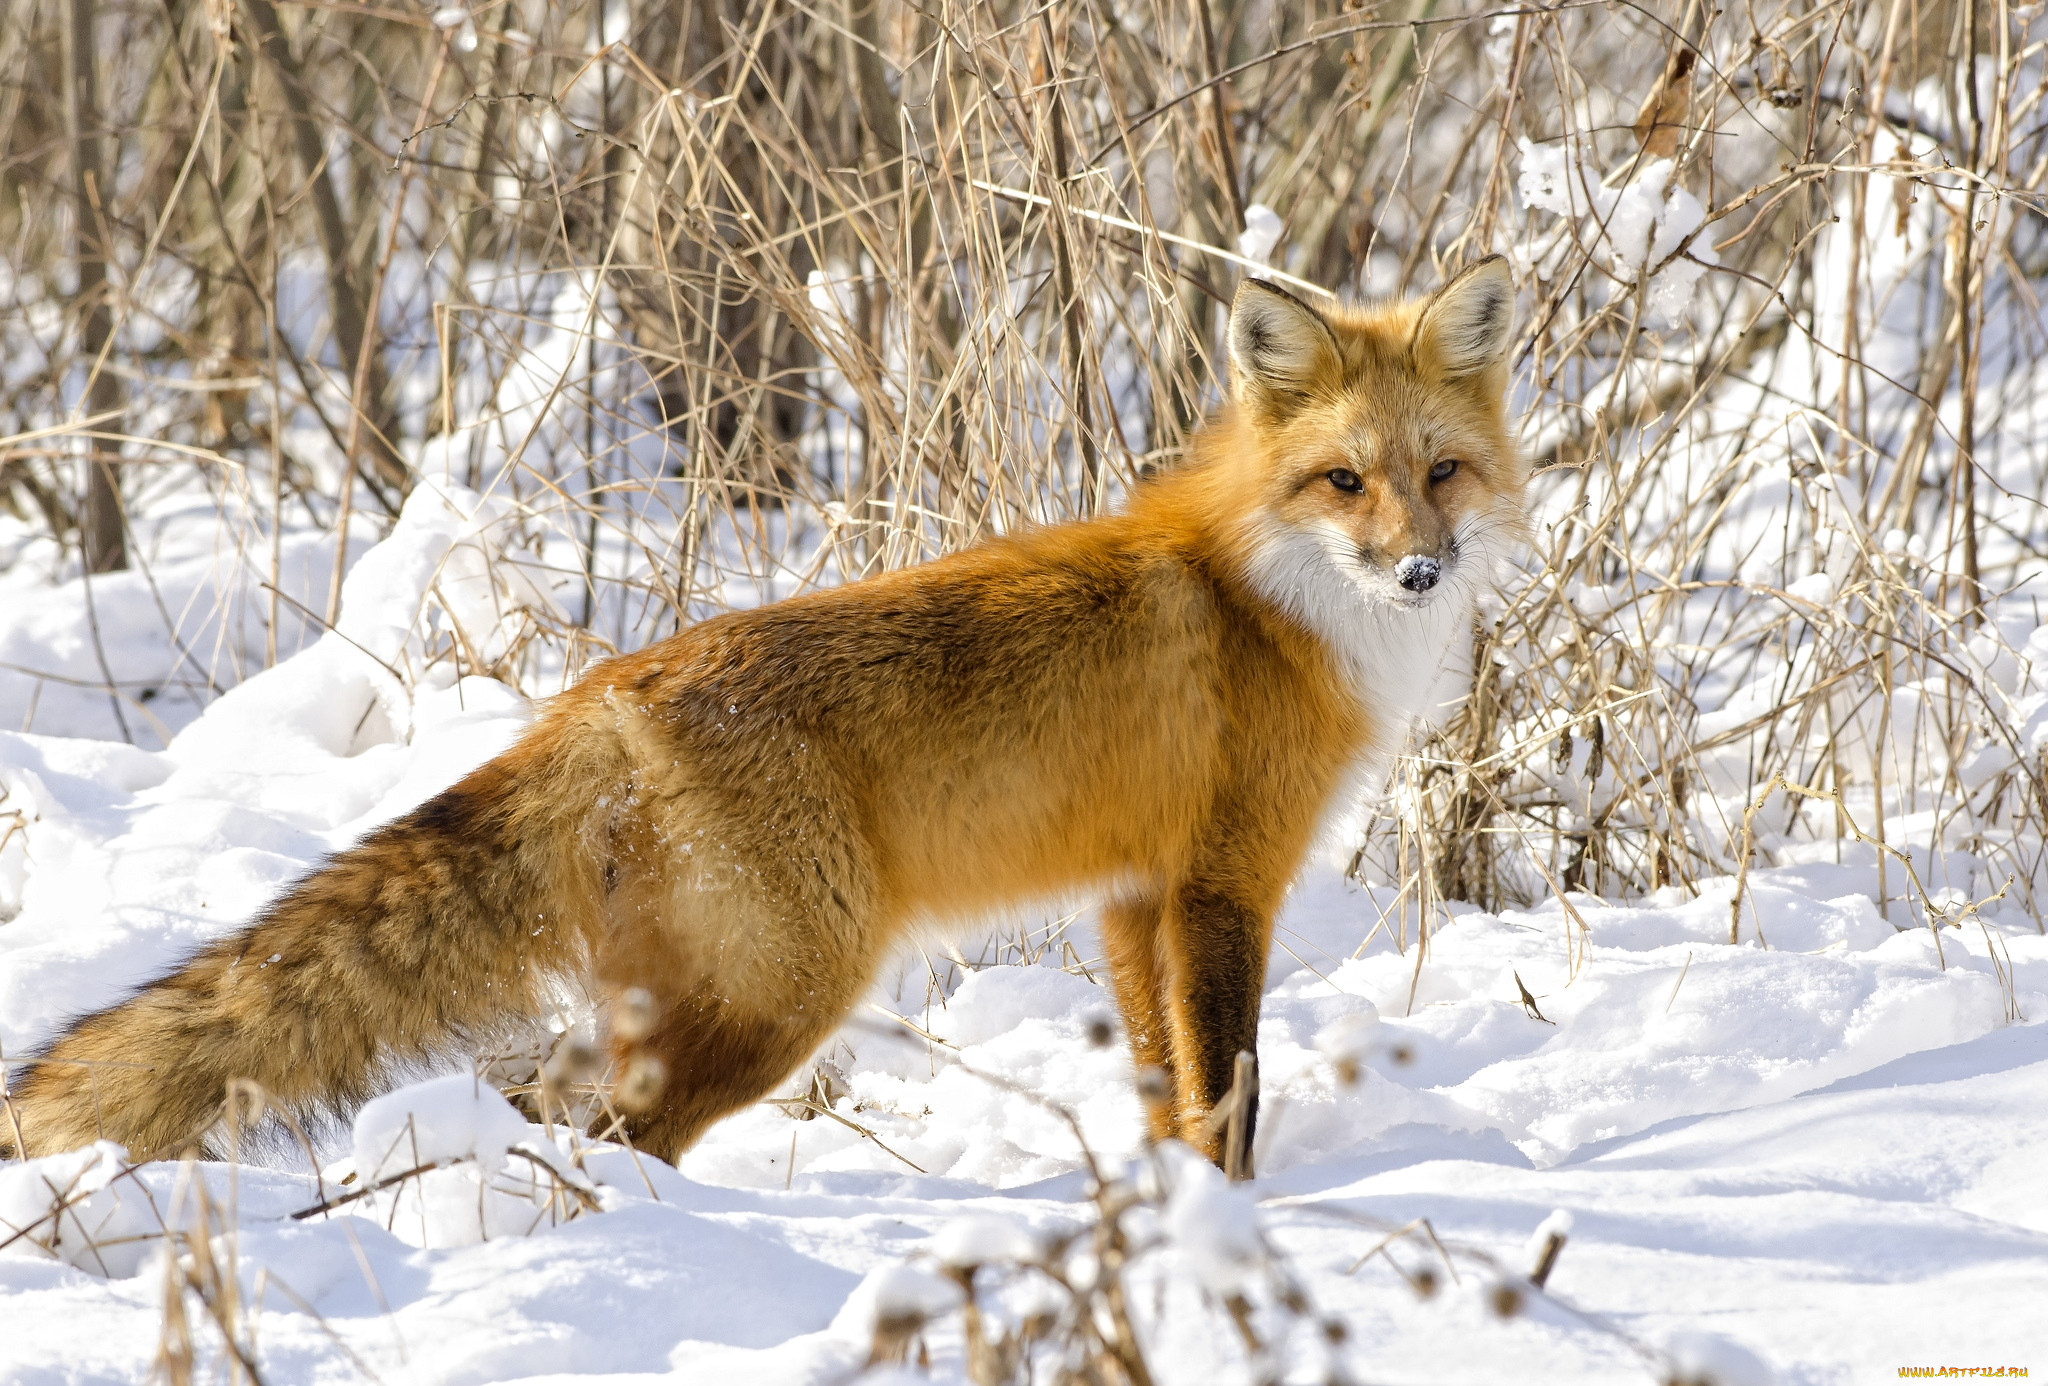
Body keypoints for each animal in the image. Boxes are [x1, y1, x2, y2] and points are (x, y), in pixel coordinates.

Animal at [0, 256, 1523, 1171]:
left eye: (1439, 474)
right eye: (1343, 482)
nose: (1419, 569)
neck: (1266, 596)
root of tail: (604, 693)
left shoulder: (1133, 894)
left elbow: (1163, 1082)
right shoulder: (1222, 883)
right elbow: (1227, 1086)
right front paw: (1235, 1218)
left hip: (692, 996)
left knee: (557, 1111)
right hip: (785, 993)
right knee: (617, 1137)